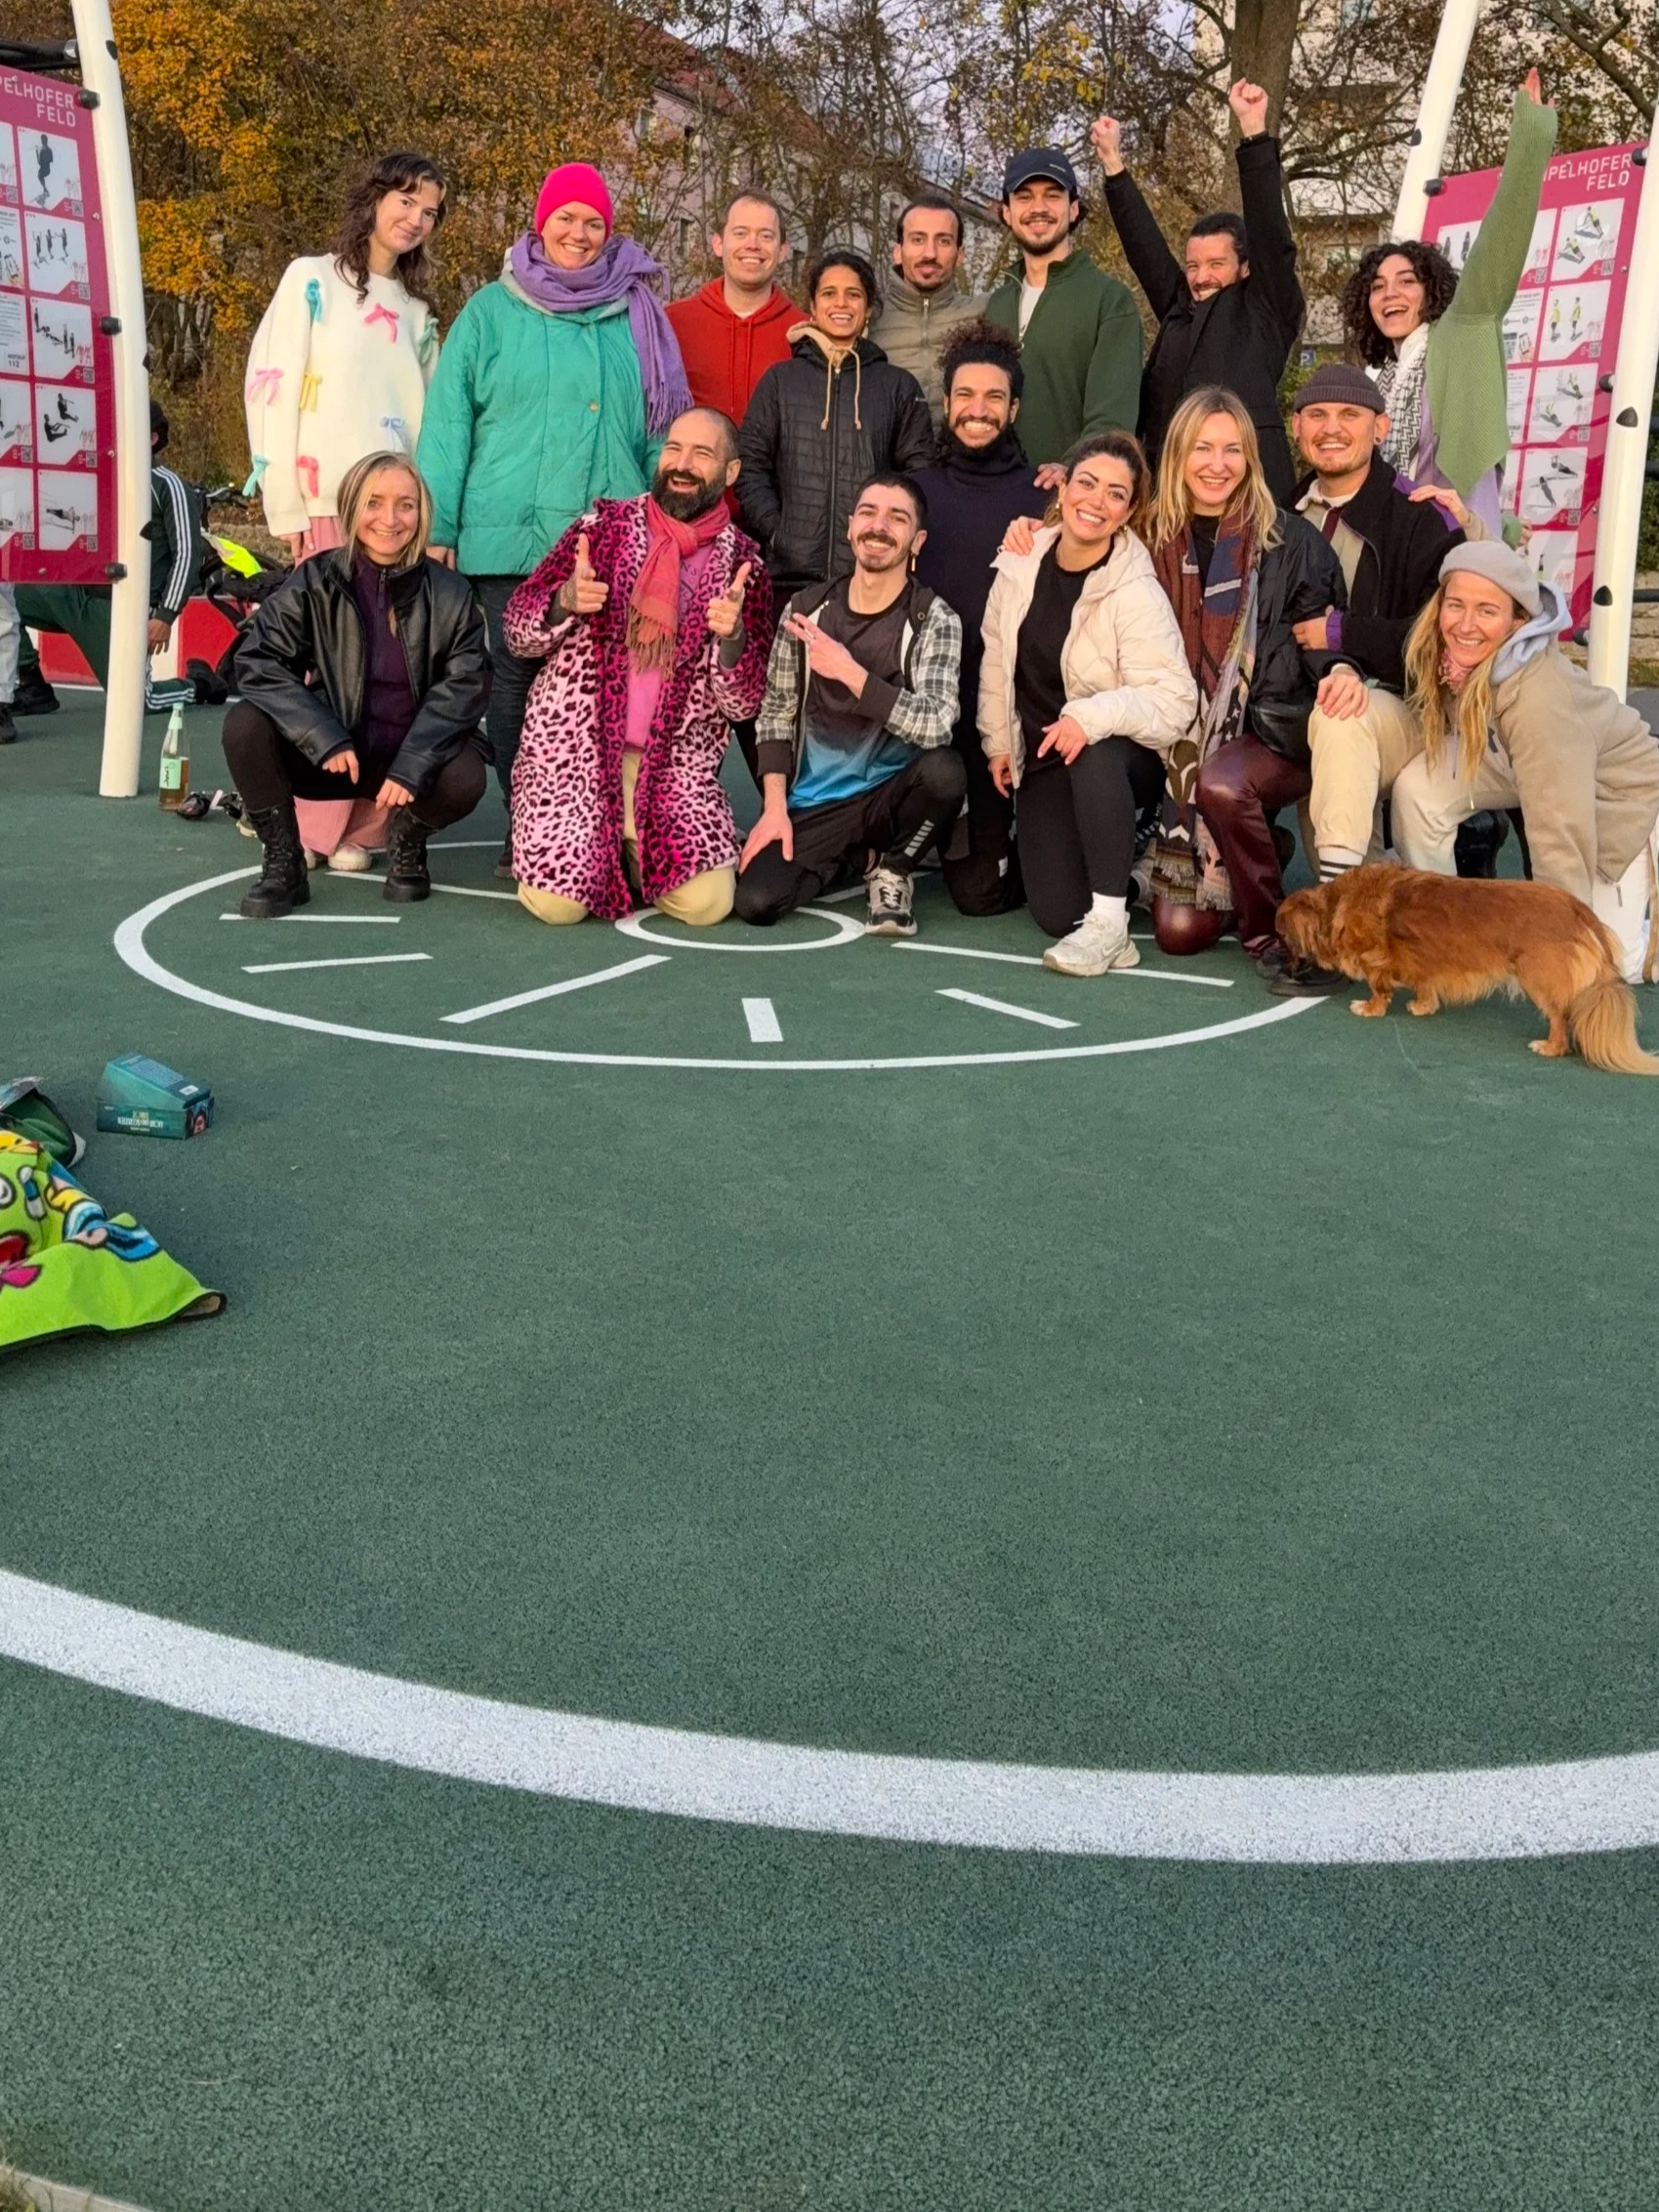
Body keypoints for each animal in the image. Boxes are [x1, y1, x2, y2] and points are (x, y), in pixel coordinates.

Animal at [1277, 865, 1658, 1076]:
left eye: (1282, 938)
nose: (1280, 964)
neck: (1336, 906)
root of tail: (1578, 909)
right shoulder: (1424, 964)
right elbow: (1425, 984)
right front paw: (1423, 1006)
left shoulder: (1375, 963)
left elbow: (1379, 988)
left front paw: (1369, 1008)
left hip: (1537, 977)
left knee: (1559, 1018)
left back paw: (1549, 1047)